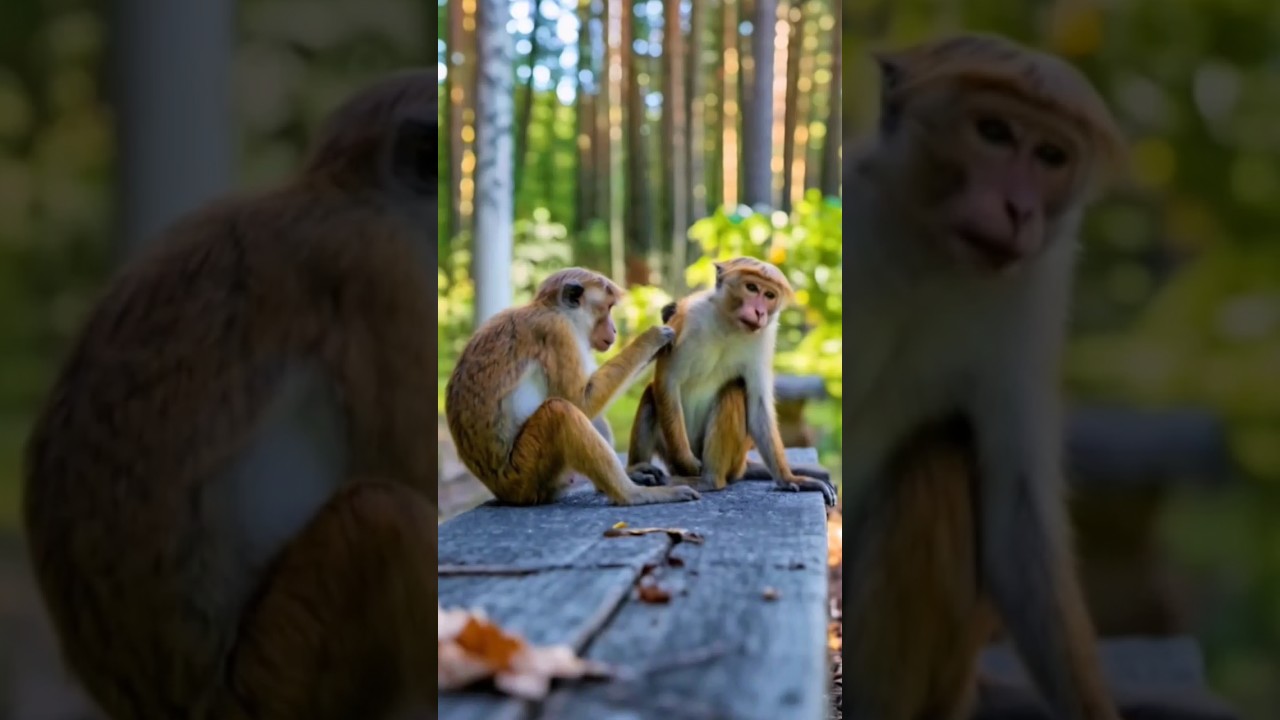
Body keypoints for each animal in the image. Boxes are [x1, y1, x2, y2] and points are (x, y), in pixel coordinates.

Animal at [444, 267, 700, 507]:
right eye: (607, 308)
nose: (614, 330)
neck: (554, 310)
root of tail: (501, 491)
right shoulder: (557, 332)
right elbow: (580, 401)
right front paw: (653, 338)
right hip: (523, 474)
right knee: (560, 411)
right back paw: (632, 494)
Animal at [623, 256, 838, 506]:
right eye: (752, 287)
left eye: (769, 295)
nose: (759, 312)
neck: (729, 324)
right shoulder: (688, 317)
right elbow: (667, 380)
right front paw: (685, 460)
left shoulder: (764, 337)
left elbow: (758, 405)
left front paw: (789, 479)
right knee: (651, 394)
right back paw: (639, 471)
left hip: (734, 459)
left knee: (733, 391)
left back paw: (710, 481)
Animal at [840, 34, 1128, 720]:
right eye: (994, 132)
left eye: (1051, 155)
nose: (1020, 209)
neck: (927, 257)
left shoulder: (1036, 285)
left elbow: (1016, 520)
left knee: (934, 469)